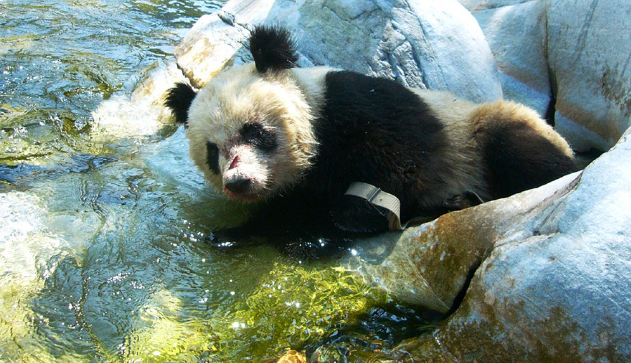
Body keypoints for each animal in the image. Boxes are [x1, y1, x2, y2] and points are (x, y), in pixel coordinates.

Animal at [164, 26, 576, 245]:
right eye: (212, 152)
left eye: (254, 131)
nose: (238, 180)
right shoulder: (298, 188)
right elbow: (289, 211)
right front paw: (228, 235)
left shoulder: (360, 102)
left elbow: (408, 161)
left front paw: (358, 211)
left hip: (484, 131)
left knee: (521, 152)